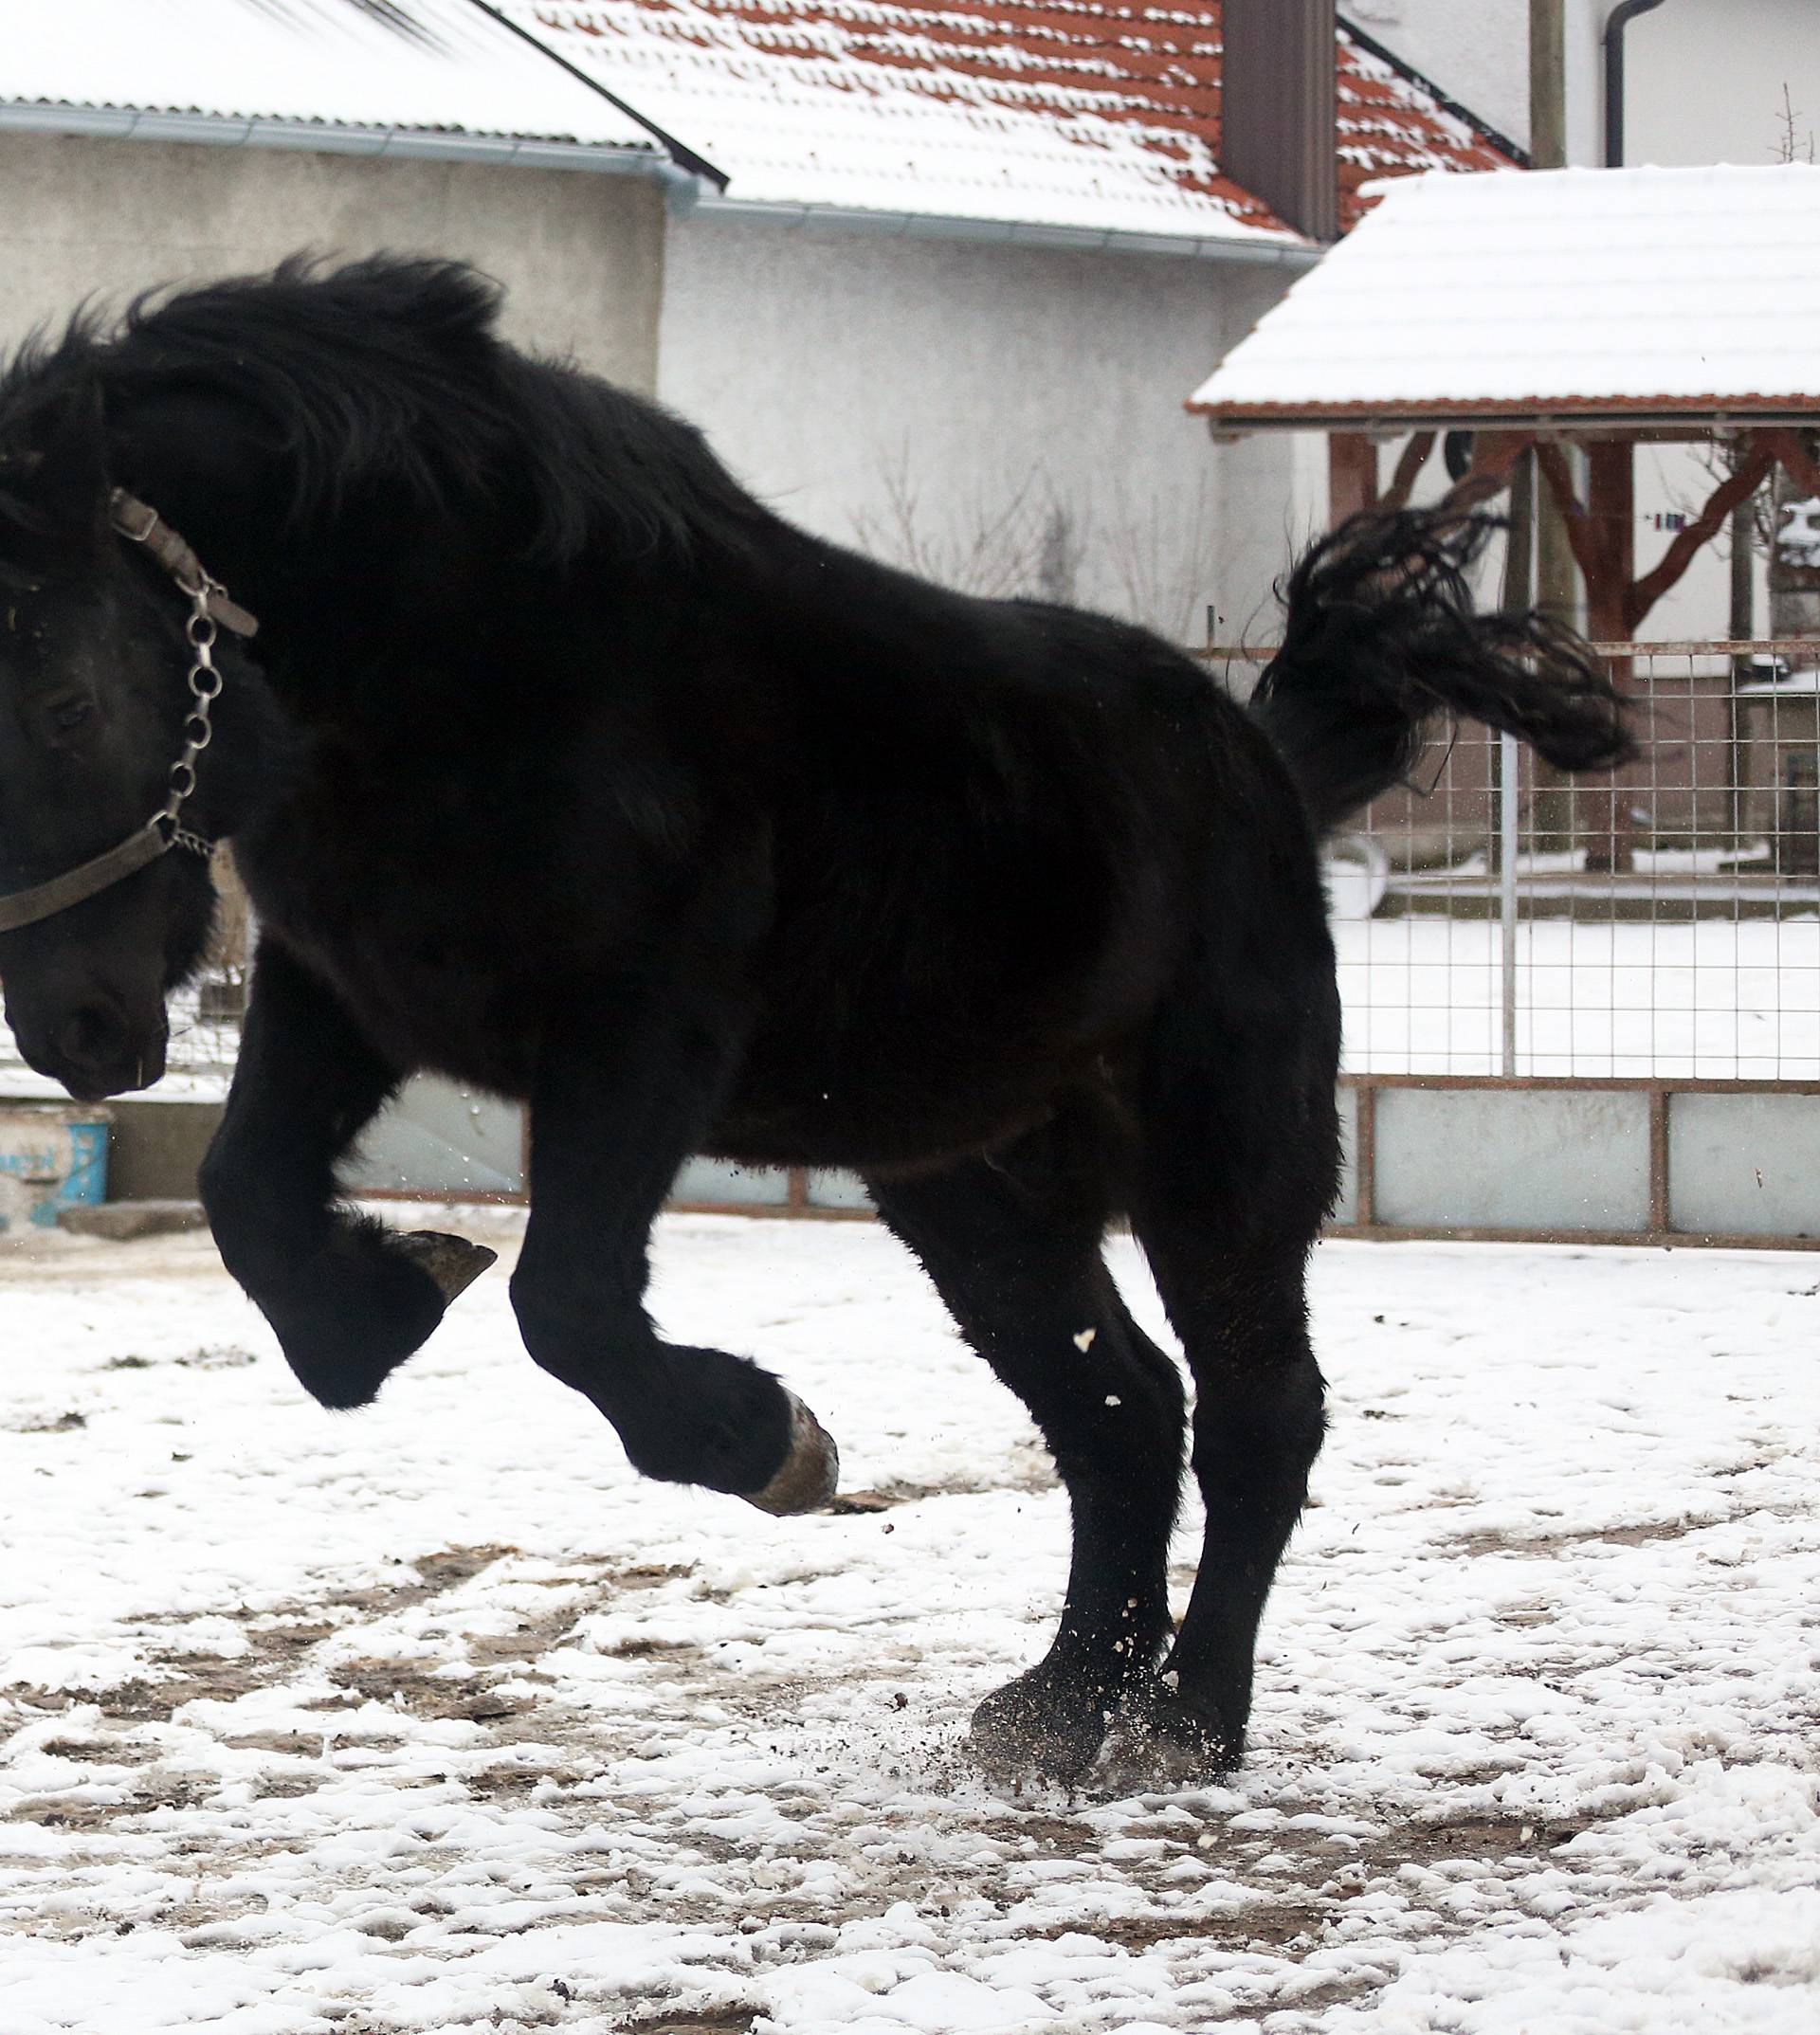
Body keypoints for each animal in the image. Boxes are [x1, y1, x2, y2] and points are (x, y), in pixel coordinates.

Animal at [0, 258, 1636, 1782]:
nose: (71, 1029)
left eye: (65, 702)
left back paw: (1189, 1720)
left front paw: (766, 1440)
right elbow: (249, 1201)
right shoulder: (343, 988)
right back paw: (1060, 1704)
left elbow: (568, 1302)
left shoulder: (641, 1032)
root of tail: (1266, 769)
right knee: (1119, 1405)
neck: (471, 660)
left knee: (1255, 1411)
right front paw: (392, 1292)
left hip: (1221, 1156)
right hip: (965, 1184)